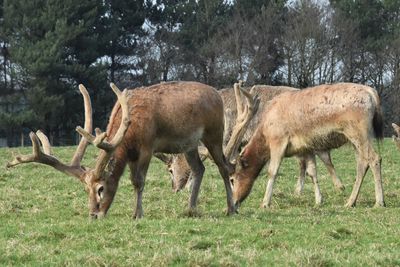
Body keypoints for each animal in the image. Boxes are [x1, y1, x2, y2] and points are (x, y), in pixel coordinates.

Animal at [7, 81, 256, 220]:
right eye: (86, 190)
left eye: (100, 188)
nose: (94, 214)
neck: (128, 135)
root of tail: (216, 95)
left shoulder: (147, 146)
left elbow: (138, 181)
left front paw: (137, 214)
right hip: (190, 144)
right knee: (199, 168)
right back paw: (190, 208)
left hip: (214, 133)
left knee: (224, 167)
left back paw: (231, 208)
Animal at [231, 82, 384, 210]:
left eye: (232, 179)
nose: (234, 202)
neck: (265, 131)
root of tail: (372, 93)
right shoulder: (306, 147)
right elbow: (312, 172)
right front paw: (318, 200)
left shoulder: (278, 141)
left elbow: (272, 171)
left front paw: (265, 203)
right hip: (355, 138)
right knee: (362, 163)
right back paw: (350, 202)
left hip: (359, 132)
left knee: (374, 158)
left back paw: (379, 202)